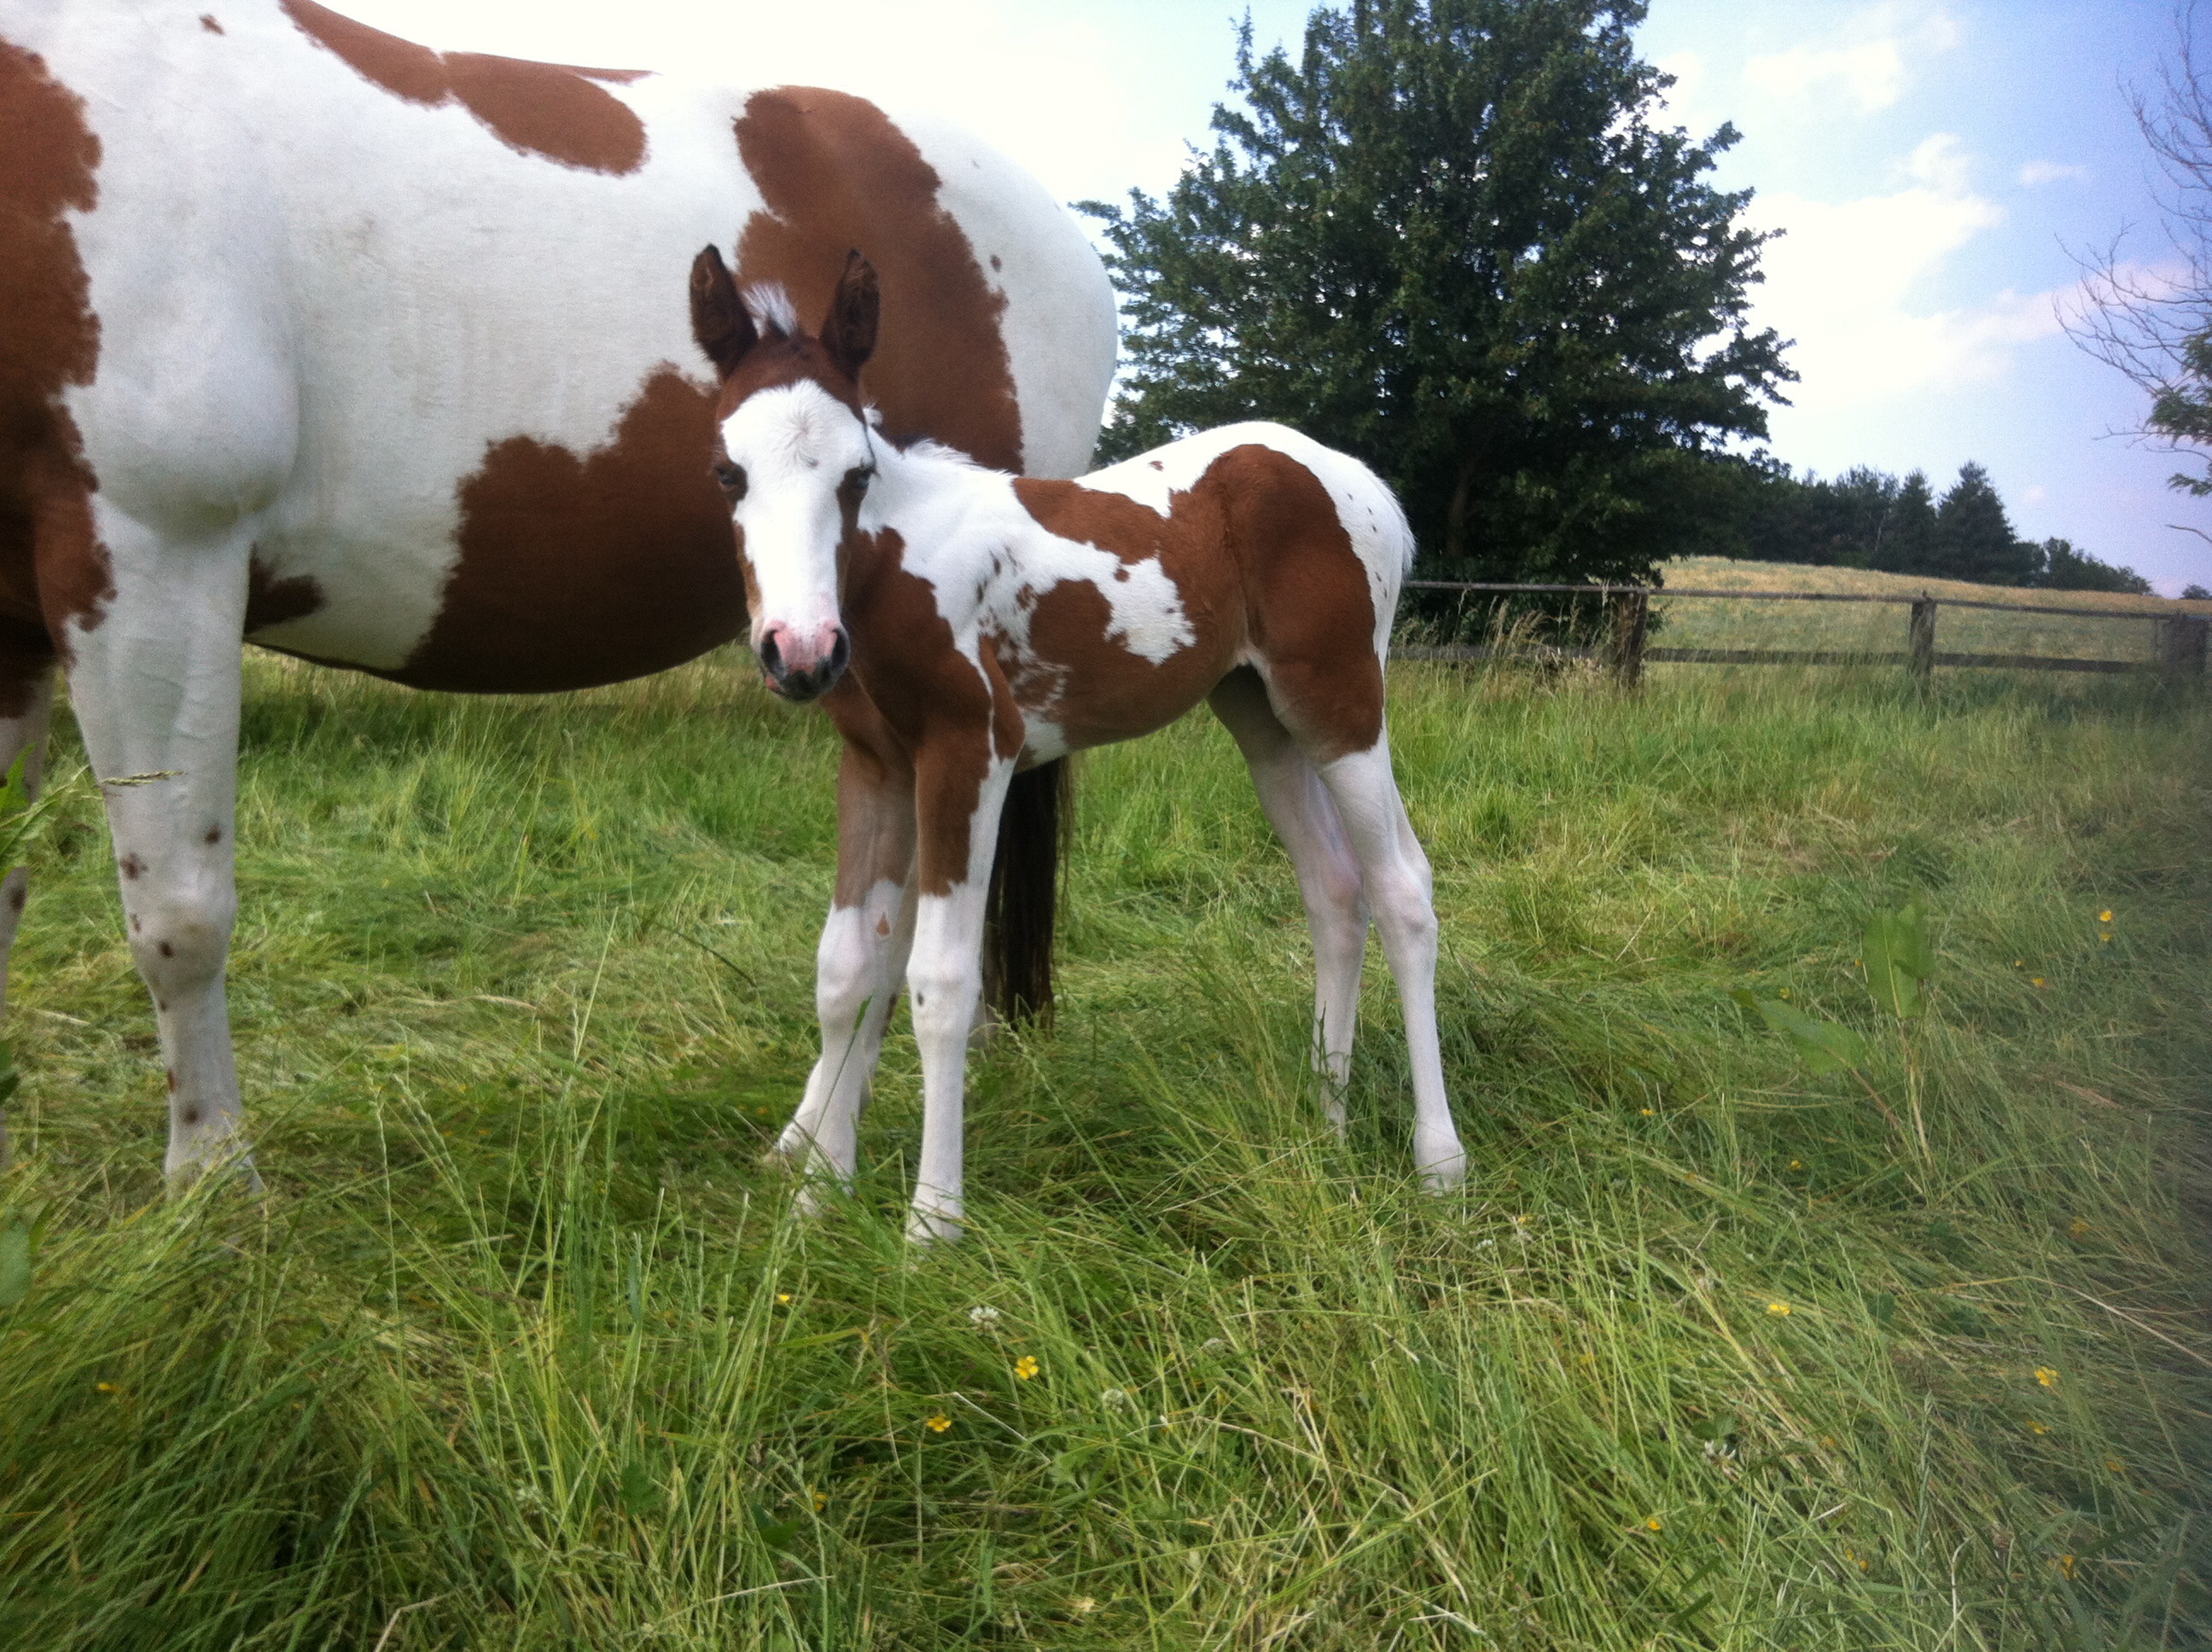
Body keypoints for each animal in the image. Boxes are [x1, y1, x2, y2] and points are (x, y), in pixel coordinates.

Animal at [689, 251, 1468, 1241]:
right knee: (1334, 889)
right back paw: (1322, 1121)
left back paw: (1439, 1159)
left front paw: (932, 1221)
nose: (799, 653)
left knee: (1403, 889)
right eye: (727, 473)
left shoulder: (968, 755)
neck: (894, 570)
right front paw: (819, 1192)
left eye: (856, 474)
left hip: (1341, 705)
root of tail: (1361, 483)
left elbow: (940, 981)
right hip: (1261, 715)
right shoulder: (876, 767)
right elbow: (848, 969)